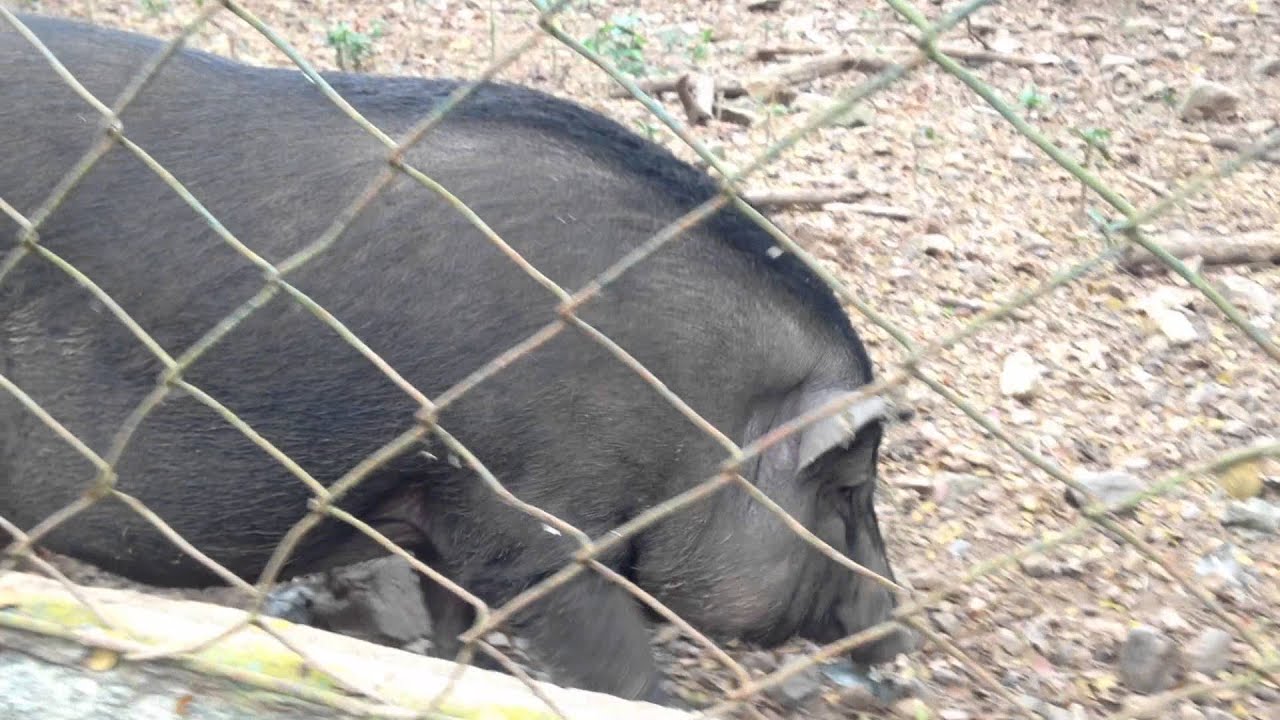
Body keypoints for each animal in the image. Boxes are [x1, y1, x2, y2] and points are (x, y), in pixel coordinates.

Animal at [0, 13, 913, 704]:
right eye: (847, 489)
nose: (898, 630)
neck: (694, 415)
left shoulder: (447, 516)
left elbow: (452, 626)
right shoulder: (529, 519)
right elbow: (604, 658)